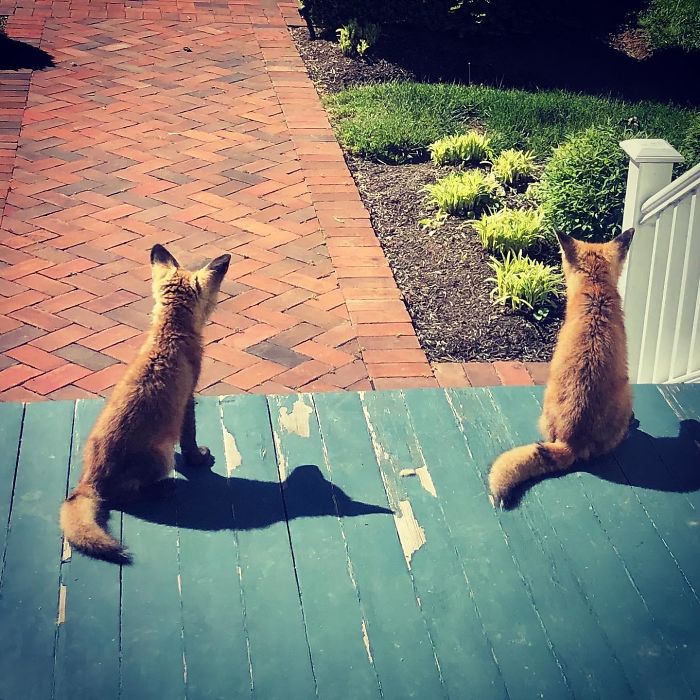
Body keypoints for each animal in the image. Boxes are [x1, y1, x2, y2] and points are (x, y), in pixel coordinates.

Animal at [60, 244, 231, 562]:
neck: (168, 334)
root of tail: (89, 481)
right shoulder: (188, 397)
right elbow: (189, 437)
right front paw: (197, 458)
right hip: (159, 458)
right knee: (124, 497)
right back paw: (160, 491)